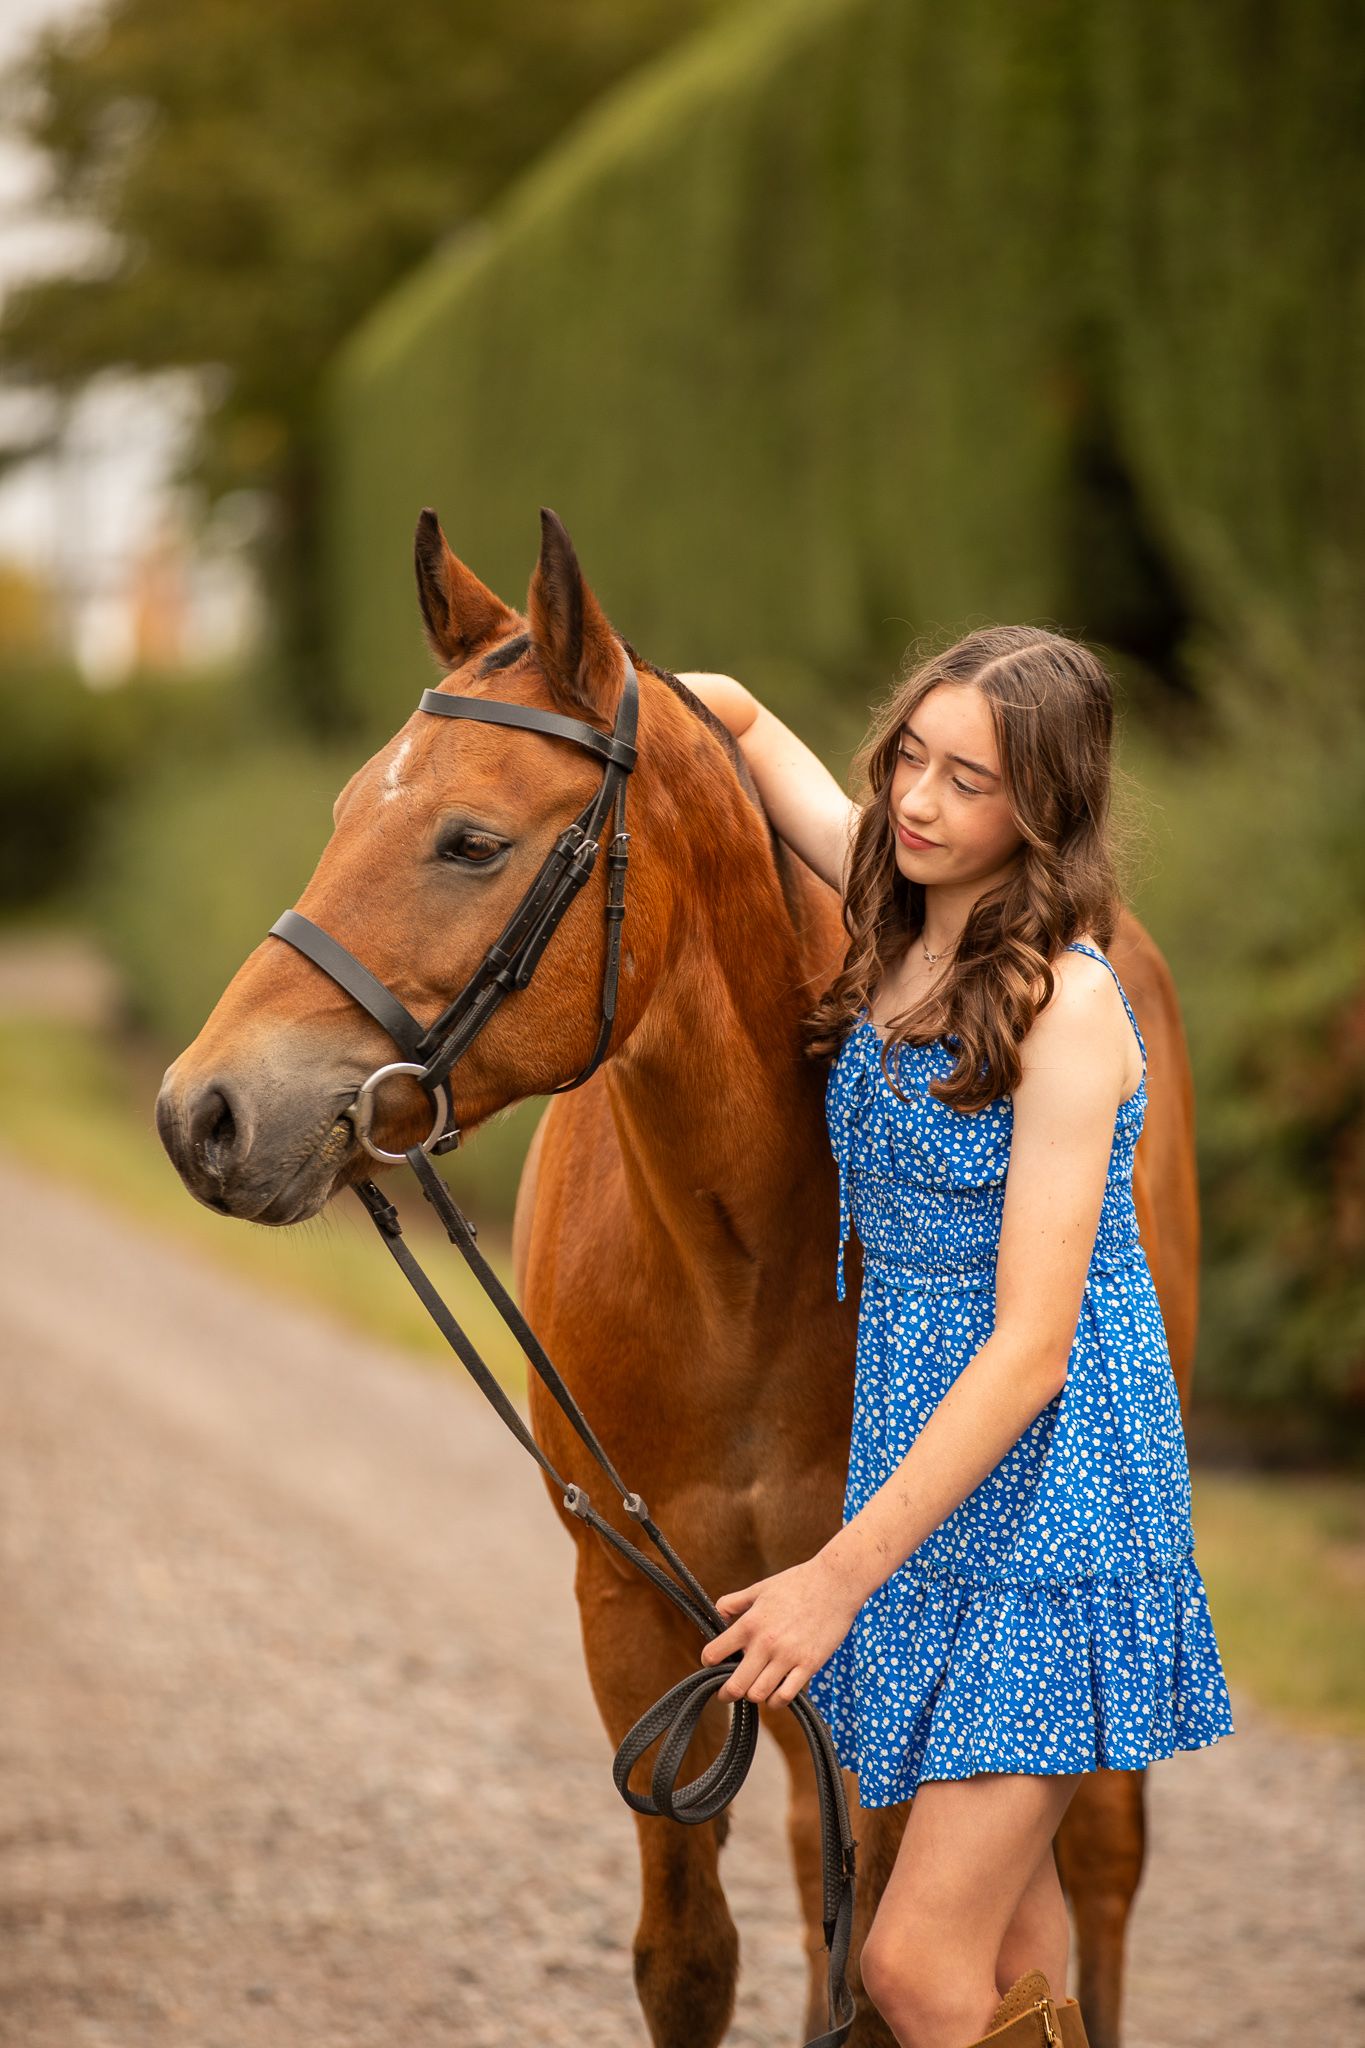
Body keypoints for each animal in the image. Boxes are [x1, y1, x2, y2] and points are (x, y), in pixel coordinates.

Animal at [155, 507, 1200, 2048]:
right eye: (348, 809)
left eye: (471, 841)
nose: (205, 1115)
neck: (743, 1264)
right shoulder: (640, 1611)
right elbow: (692, 1956)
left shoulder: (871, 1638)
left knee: (1104, 1870)